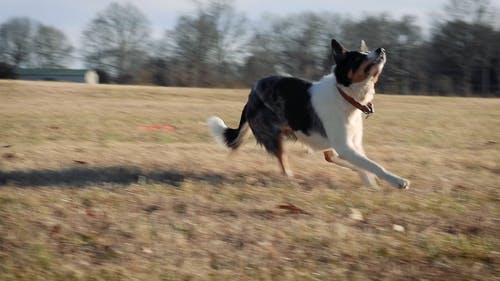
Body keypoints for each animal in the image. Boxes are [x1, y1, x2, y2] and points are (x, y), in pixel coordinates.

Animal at [207, 38, 410, 188]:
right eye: (358, 58)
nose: (381, 49)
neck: (345, 95)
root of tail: (251, 94)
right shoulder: (345, 146)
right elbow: (373, 165)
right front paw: (397, 181)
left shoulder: (353, 143)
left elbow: (365, 165)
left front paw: (370, 185)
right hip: (273, 136)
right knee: (283, 161)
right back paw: (290, 178)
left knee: (331, 157)